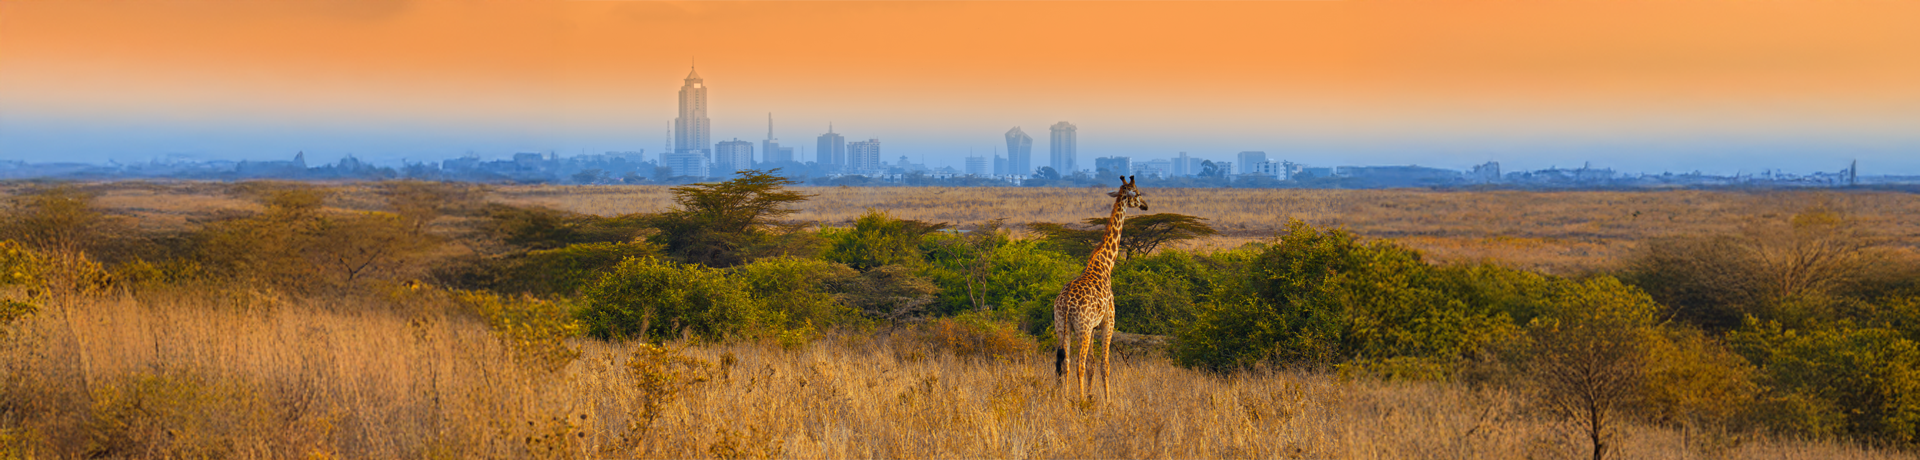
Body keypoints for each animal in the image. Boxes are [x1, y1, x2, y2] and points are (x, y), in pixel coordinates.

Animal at [1053, 176, 1149, 400]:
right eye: (1138, 193)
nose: (1145, 205)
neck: (1105, 265)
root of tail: (1066, 303)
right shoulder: (1108, 322)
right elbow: (1104, 365)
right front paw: (1107, 401)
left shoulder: (1094, 327)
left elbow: (1092, 366)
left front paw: (1091, 396)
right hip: (1082, 327)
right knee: (1077, 363)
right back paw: (1078, 401)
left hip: (1062, 327)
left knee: (1065, 363)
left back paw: (1065, 398)